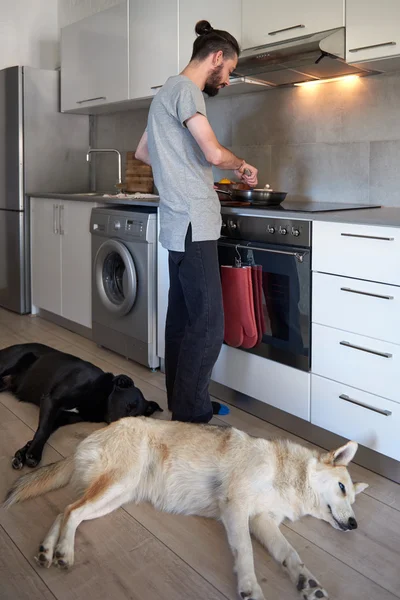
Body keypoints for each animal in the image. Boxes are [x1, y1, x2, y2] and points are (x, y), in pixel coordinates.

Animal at [0, 342, 162, 468]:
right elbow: (44, 429)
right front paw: (34, 454)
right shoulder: (51, 400)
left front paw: (25, 452)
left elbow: (45, 430)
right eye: (128, 406)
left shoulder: (61, 417)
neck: (101, 397)